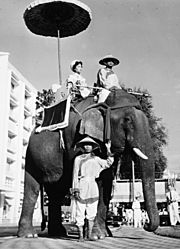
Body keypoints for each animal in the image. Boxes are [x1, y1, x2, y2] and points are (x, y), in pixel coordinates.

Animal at [17, 89, 159, 239]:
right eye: (127, 120)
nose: (146, 224)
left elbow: (106, 182)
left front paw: (102, 234)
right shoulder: (75, 137)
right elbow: (99, 181)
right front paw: (96, 235)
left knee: (56, 193)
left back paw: (58, 232)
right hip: (31, 156)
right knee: (32, 188)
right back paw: (29, 235)